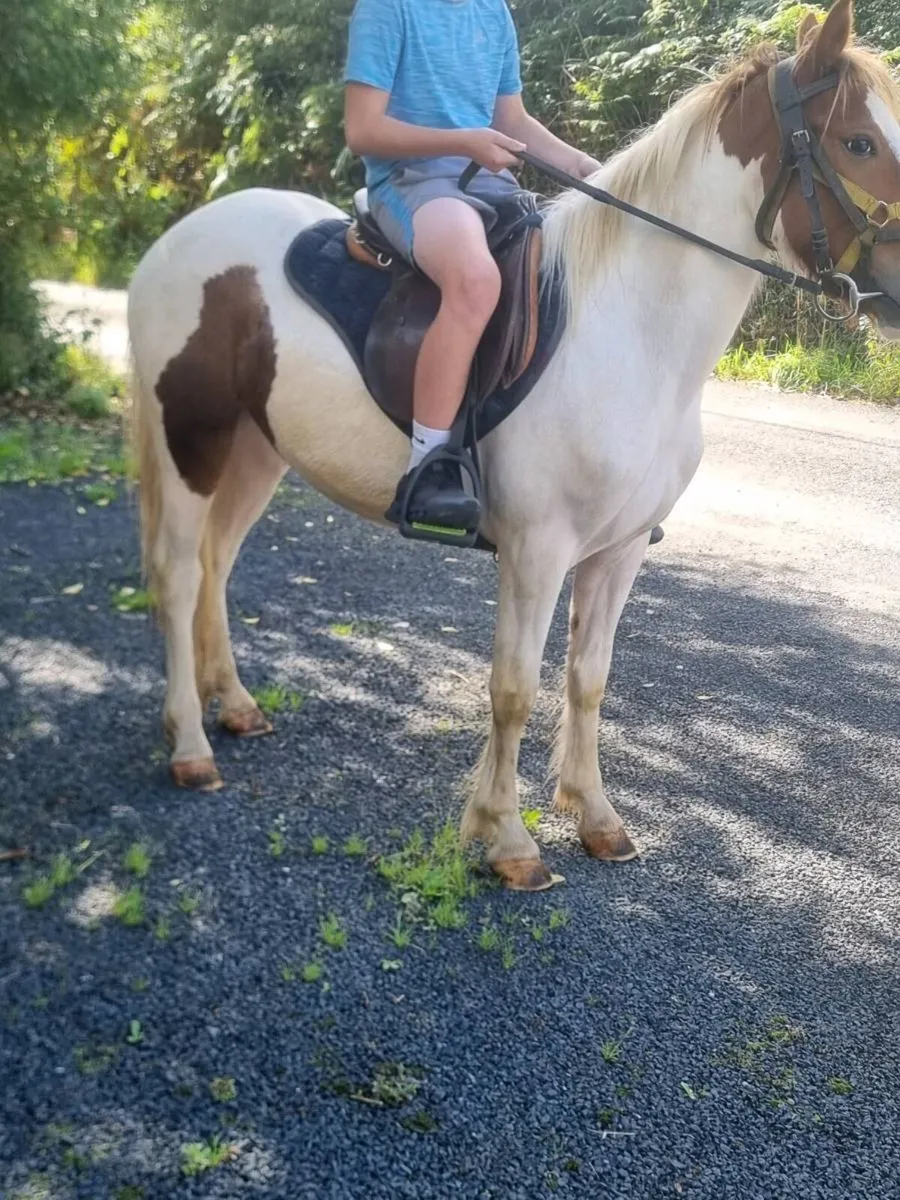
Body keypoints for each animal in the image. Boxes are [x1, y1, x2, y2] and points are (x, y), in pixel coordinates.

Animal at [128, 0, 900, 890]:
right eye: (859, 143)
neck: (633, 329)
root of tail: (177, 239)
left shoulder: (620, 550)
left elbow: (589, 680)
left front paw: (596, 818)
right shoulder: (537, 549)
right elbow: (513, 689)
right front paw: (507, 839)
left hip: (258, 447)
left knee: (218, 562)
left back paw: (238, 708)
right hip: (191, 439)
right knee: (181, 575)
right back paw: (190, 746)